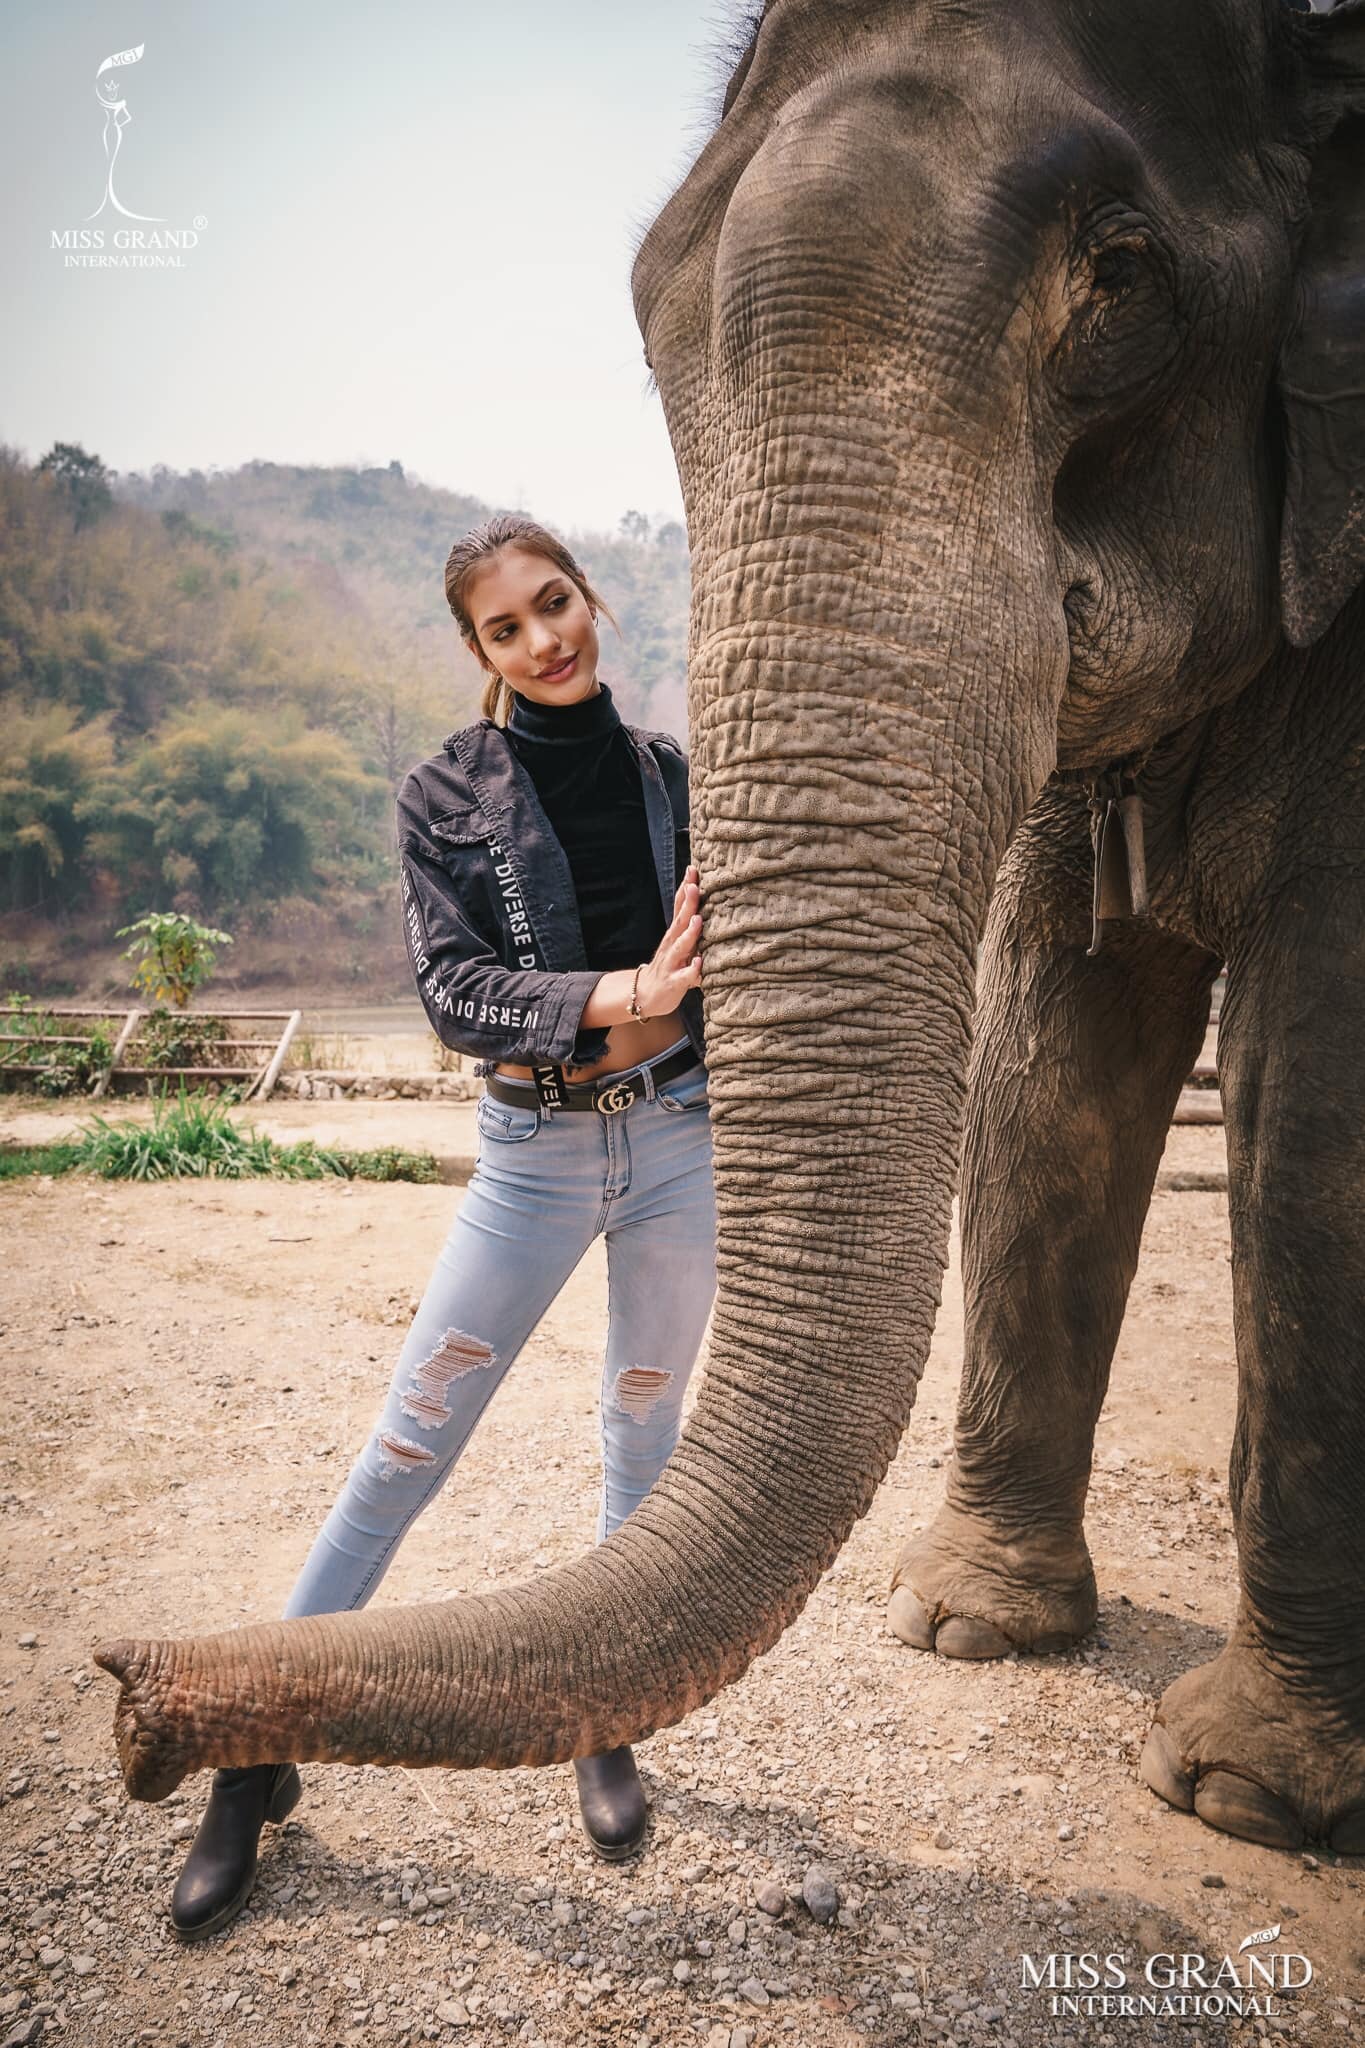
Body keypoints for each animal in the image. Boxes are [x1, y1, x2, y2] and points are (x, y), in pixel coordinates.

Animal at [96, 0, 1365, 1859]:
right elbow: (1039, 1063)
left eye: (1123, 278)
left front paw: (1233, 1791)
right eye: (650, 316)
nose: (130, 1702)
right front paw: (964, 1627)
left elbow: (1316, 1106)